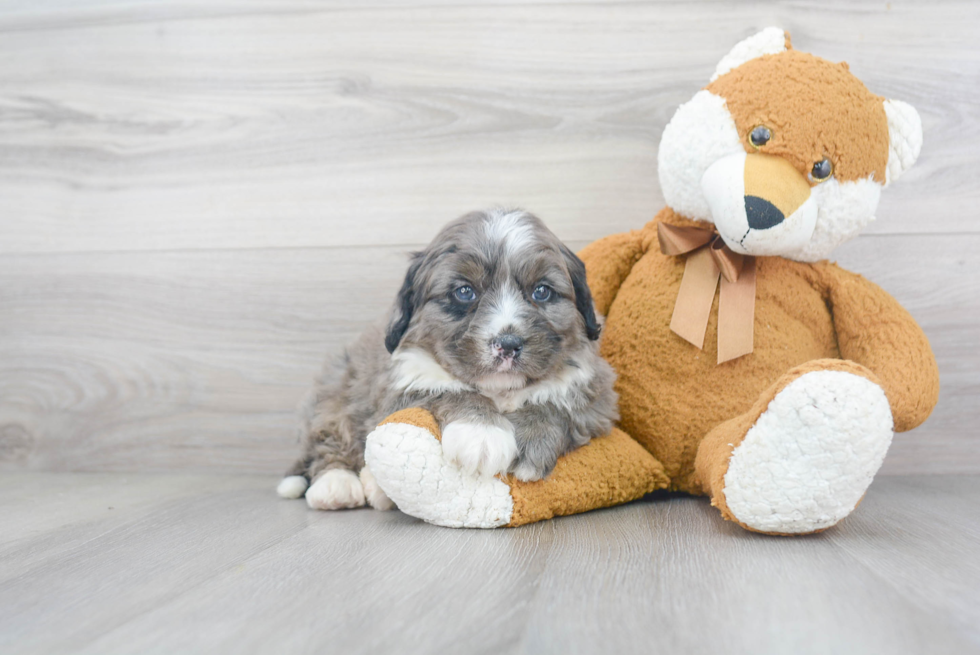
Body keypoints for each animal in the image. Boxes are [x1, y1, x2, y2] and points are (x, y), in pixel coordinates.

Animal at [276, 210, 616, 512]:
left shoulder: (597, 396)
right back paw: (337, 485)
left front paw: (531, 439)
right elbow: (449, 390)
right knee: (328, 441)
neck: (499, 391)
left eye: (542, 291)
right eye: (464, 291)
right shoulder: (399, 385)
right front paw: (481, 433)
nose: (508, 344)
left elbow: (558, 402)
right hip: (333, 396)